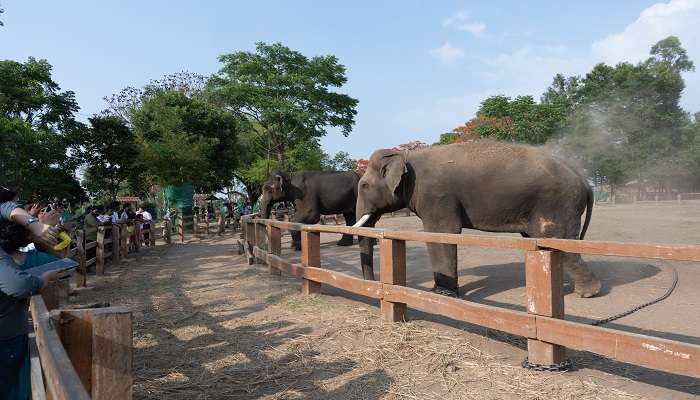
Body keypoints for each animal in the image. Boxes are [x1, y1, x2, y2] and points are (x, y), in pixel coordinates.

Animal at [356, 139, 600, 298]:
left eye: (364, 185)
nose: (369, 283)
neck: (407, 156)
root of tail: (585, 181)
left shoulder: (437, 195)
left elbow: (442, 233)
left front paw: (443, 294)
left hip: (558, 204)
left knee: (558, 242)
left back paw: (588, 293)